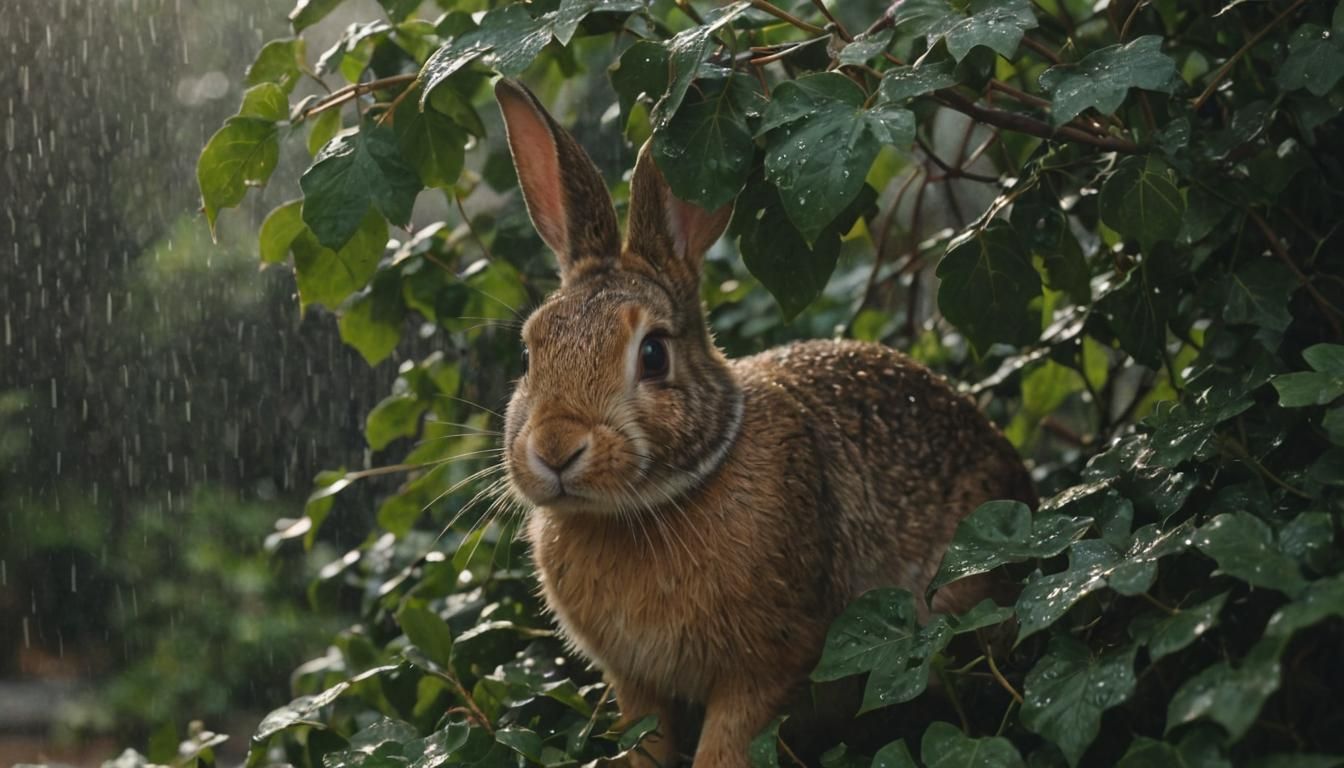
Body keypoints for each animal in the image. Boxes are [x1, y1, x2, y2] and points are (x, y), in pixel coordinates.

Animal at [493, 78, 1036, 768]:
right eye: (528, 355)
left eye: (653, 354)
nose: (556, 448)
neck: (654, 503)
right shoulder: (636, 686)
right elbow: (647, 741)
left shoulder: (767, 667)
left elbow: (726, 745)